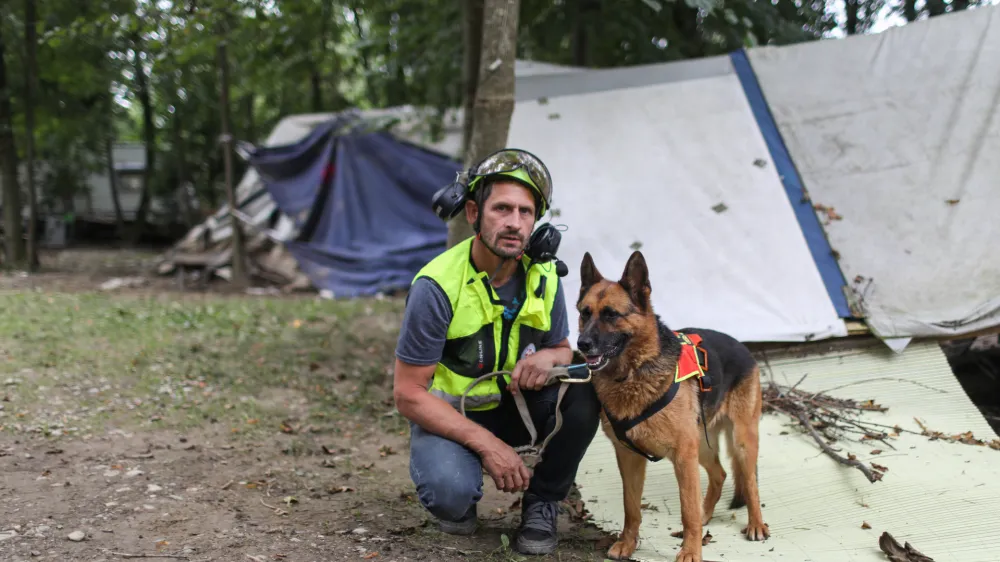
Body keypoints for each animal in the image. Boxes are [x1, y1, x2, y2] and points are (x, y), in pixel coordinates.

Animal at [580, 252, 764, 556]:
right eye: (584, 313)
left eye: (611, 314)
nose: (582, 344)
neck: (634, 373)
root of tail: (742, 346)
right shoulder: (628, 457)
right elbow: (631, 507)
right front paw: (627, 543)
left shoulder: (683, 456)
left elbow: (687, 510)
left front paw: (690, 553)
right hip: (702, 446)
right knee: (720, 474)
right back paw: (706, 515)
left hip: (740, 441)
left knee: (750, 483)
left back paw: (756, 524)